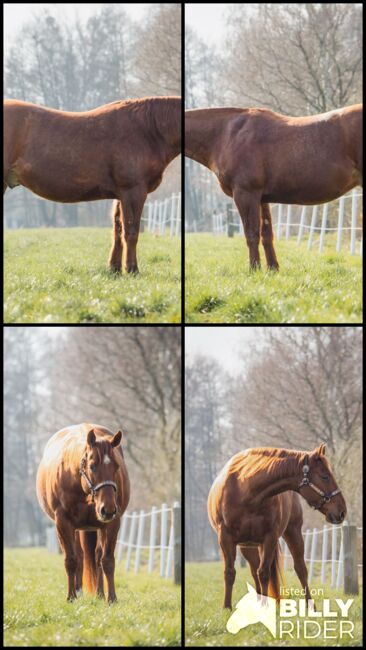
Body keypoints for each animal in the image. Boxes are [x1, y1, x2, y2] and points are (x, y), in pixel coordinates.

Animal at [4, 95, 182, 272]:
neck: (147, 130)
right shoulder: (133, 192)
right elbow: (131, 232)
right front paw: (132, 270)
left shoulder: (121, 195)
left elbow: (118, 229)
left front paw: (115, 269)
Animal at [36, 422, 130, 600]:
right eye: (92, 466)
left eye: (116, 467)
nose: (108, 509)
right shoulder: (63, 523)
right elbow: (71, 560)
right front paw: (71, 597)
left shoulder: (112, 523)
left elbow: (107, 560)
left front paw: (112, 598)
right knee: (79, 555)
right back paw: (78, 591)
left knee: (97, 556)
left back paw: (100, 593)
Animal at [184, 103, 362, 268]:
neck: (228, 134)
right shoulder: (262, 199)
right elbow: (266, 234)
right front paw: (272, 269)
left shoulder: (245, 194)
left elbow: (252, 234)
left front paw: (254, 269)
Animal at [209, 440, 346, 608]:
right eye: (325, 476)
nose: (342, 511)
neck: (246, 491)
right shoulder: (226, 539)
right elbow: (230, 572)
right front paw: (227, 607)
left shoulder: (269, 538)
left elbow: (264, 573)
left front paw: (264, 607)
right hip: (248, 546)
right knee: (254, 570)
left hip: (292, 533)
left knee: (300, 569)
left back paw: (310, 606)